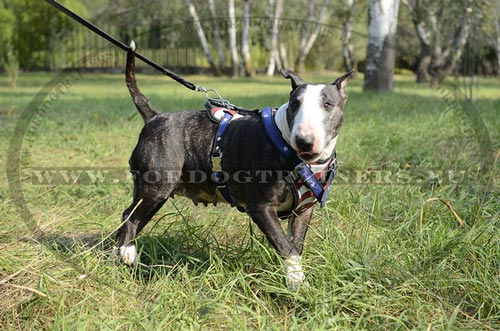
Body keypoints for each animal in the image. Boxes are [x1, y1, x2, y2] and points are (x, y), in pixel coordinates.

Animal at [115, 43, 354, 290]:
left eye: (328, 104)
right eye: (295, 104)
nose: (304, 140)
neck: (290, 149)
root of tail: (153, 117)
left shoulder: (303, 212)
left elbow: (296, 246)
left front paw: (296, 284)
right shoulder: (261, 208)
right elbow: (286, 247)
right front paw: (298, 283)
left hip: (153, 194)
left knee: (129, 220)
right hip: (156, 188)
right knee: (129, 217)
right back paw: (128, 253)